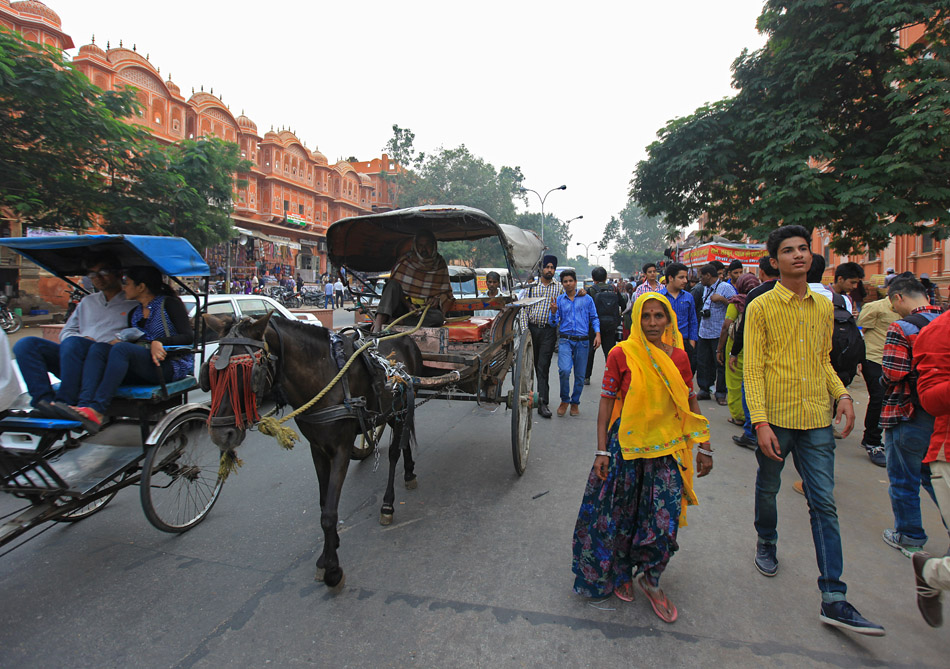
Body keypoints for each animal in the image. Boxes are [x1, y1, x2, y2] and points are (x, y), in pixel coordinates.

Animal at [205, 310, 424, 588]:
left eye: (246, 372)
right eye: (211, 372)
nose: (220, 434)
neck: (325, 377)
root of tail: (404, 336)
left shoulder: (341, 449)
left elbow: (329, 512)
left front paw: (332, 570)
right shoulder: (317, 448)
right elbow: (323, 503)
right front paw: (329, 551)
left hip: (401, 409)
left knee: (395, 451)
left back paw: (388, 503)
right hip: (396, 410)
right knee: (404, 440)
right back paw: (409, 472)